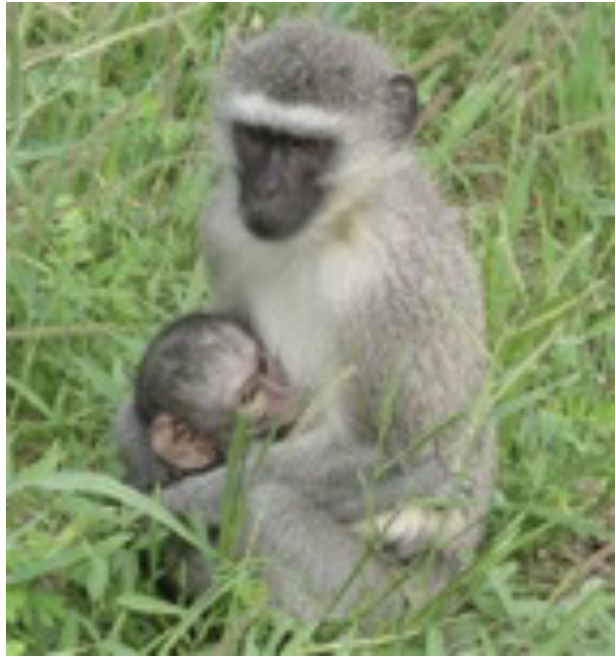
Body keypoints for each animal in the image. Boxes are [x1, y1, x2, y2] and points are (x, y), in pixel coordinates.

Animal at [159, 23, 496, 624]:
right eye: (255, 137)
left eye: (306, 147)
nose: (265, 193)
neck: (333, 229)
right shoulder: (224, 225)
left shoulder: (388, 285)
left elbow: (403, 457)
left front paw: (179, 500)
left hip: (384, 598)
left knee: (268, 506)